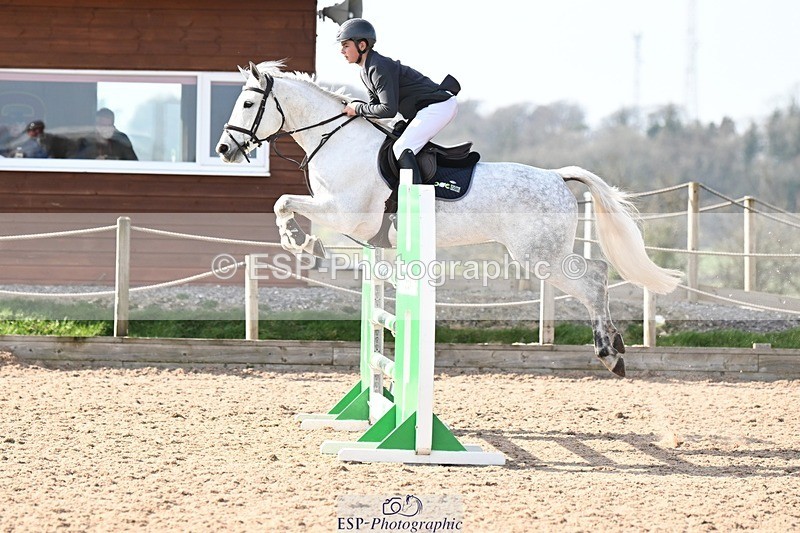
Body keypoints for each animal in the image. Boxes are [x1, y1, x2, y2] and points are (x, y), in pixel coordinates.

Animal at [215, 61, 682, 378]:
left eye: (248, 102)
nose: (224, 149)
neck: (336, 140)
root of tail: (556, 176)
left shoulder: (346, 214)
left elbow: (284, 202)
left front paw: (302, 244)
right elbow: (286, 204)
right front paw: (305, 245)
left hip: (539, 257)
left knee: (592, 281)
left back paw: (609, 351)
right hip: (544, 254)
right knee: (598, 273)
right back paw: (615, 346)